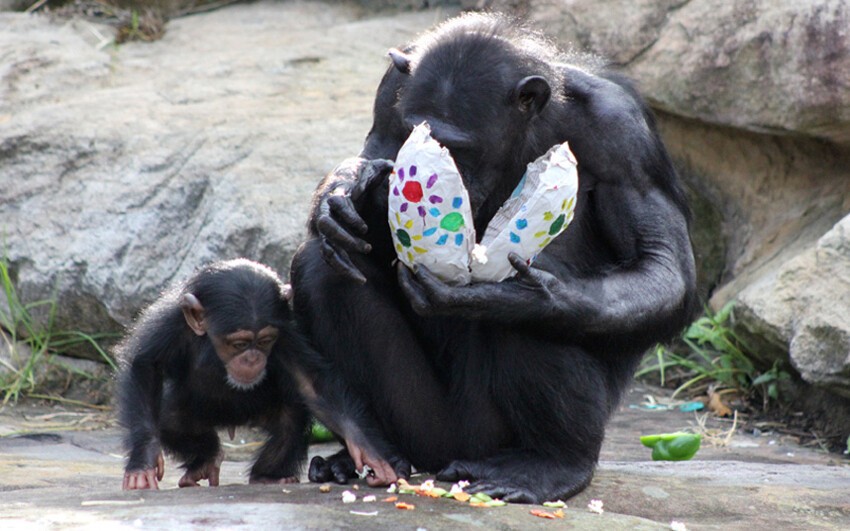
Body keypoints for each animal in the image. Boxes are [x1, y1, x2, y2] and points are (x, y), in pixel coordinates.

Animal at [115, 258, 308, 490]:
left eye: (265, 341)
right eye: (239, 344)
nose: (252, 358)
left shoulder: (289, 331)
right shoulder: (171, 323)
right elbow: (147, 364)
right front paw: (144, 461)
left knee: (289, 424)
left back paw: (266, 476)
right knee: (172, 423)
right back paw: (205, 461)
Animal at [288, 12, 692, 502]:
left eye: (461, 147)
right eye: (416, 134)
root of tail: (445, 460)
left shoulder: (622, 135)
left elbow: (661, 263)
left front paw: (521, 296)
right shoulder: (390, 96)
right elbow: (376, 155)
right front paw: (343, 192)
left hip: (487, 436)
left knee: (531, 327)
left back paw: (550, 464)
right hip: (424, 425)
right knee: (323, 271)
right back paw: (365, 454)